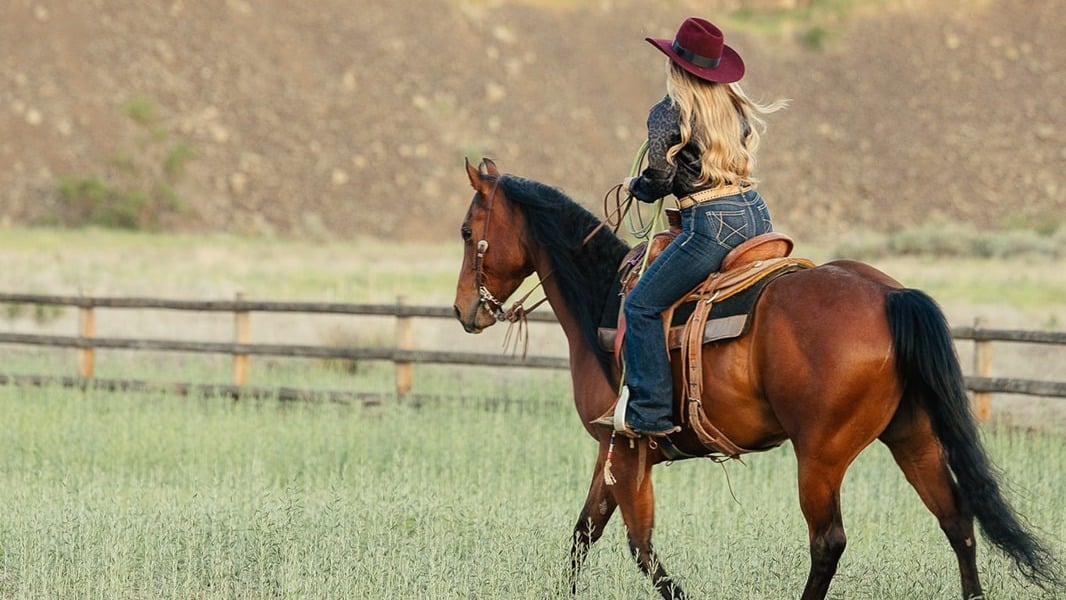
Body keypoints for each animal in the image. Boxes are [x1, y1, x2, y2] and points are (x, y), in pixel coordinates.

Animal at [452, 158, 1060, 600]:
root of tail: (891, 296)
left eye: (465, 231)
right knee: (957, 521)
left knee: (828, 542)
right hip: (913, 436)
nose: (464, 310)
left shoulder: (626, 448)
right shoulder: (612, 448)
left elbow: (637, 545)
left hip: (820, 455)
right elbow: (586, 532)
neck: (603, 298)